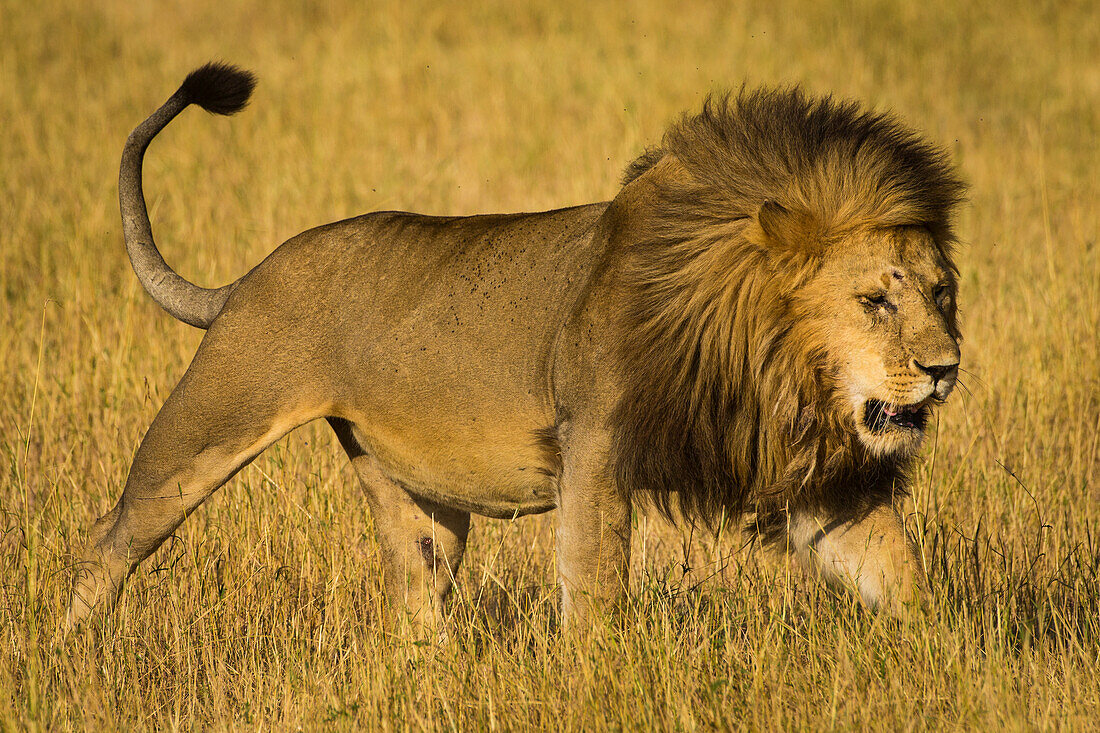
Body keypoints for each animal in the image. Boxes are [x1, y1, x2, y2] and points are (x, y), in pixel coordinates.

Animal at [66, 62, 963, 629]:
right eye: (874, 300)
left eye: (942, 293)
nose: (946, 369)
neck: (768, 364)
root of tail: (250, 276)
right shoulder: (593, 445)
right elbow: (594, 594)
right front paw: (601, 685)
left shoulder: (810, 479)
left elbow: (899, 571)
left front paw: (950, 661)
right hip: (206, 426)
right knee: (108, 540)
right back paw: (66, 653)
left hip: (417, 501)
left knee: (419, 604)